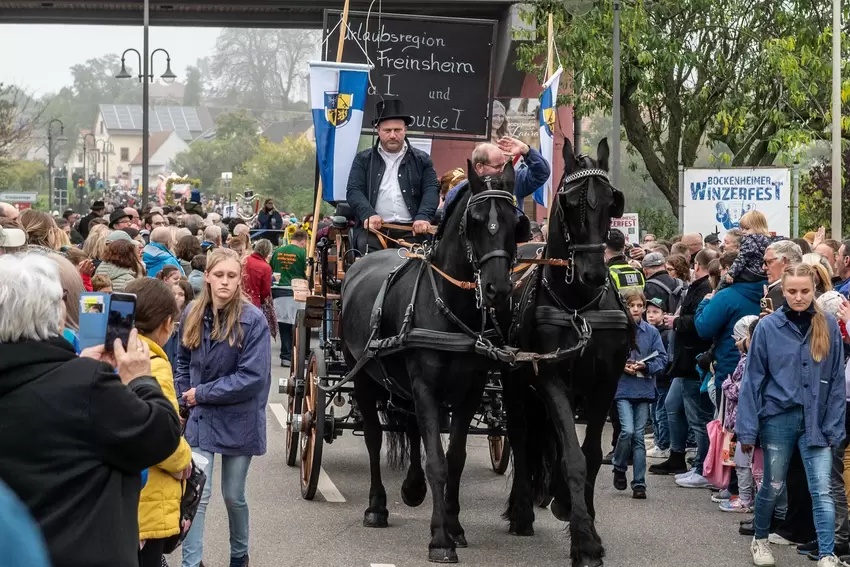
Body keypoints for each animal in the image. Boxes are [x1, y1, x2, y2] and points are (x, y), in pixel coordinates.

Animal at [338, 161, 524, 564]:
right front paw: (439, 539)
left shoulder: (468, 390)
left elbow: (453, 458)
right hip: (363, 377)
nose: (499, 290)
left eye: (513, 220)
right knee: (374, 437)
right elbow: (436, 460)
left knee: (409, 428)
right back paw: (377, 506)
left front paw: (454, 527)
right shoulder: (424, 386)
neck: (448, 306)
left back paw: (412, 488)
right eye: (475, 220)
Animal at [504, 139, 628, 567]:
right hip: (515, 384)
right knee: (520, 437)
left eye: (611, 201)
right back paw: (522, 509)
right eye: (570, 201)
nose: (593, 272)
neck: (578, 306)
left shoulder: (604, 384)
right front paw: (584, 541)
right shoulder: (550, 377)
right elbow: (571, 455)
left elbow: (588, 454)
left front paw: (580, 513)